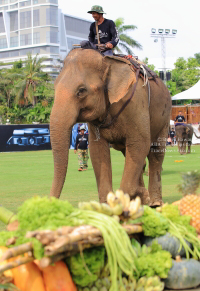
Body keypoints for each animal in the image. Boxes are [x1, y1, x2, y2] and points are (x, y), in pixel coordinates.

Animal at [49, 48, 171, 208]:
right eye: (55, 87)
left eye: (81, 91)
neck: (108, 63)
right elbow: (97, 151)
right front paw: (108, 205)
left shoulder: (136, 103)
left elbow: (140, 144)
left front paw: (134, 197)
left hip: (165, 116)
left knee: (155, 153)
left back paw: (154, 203)